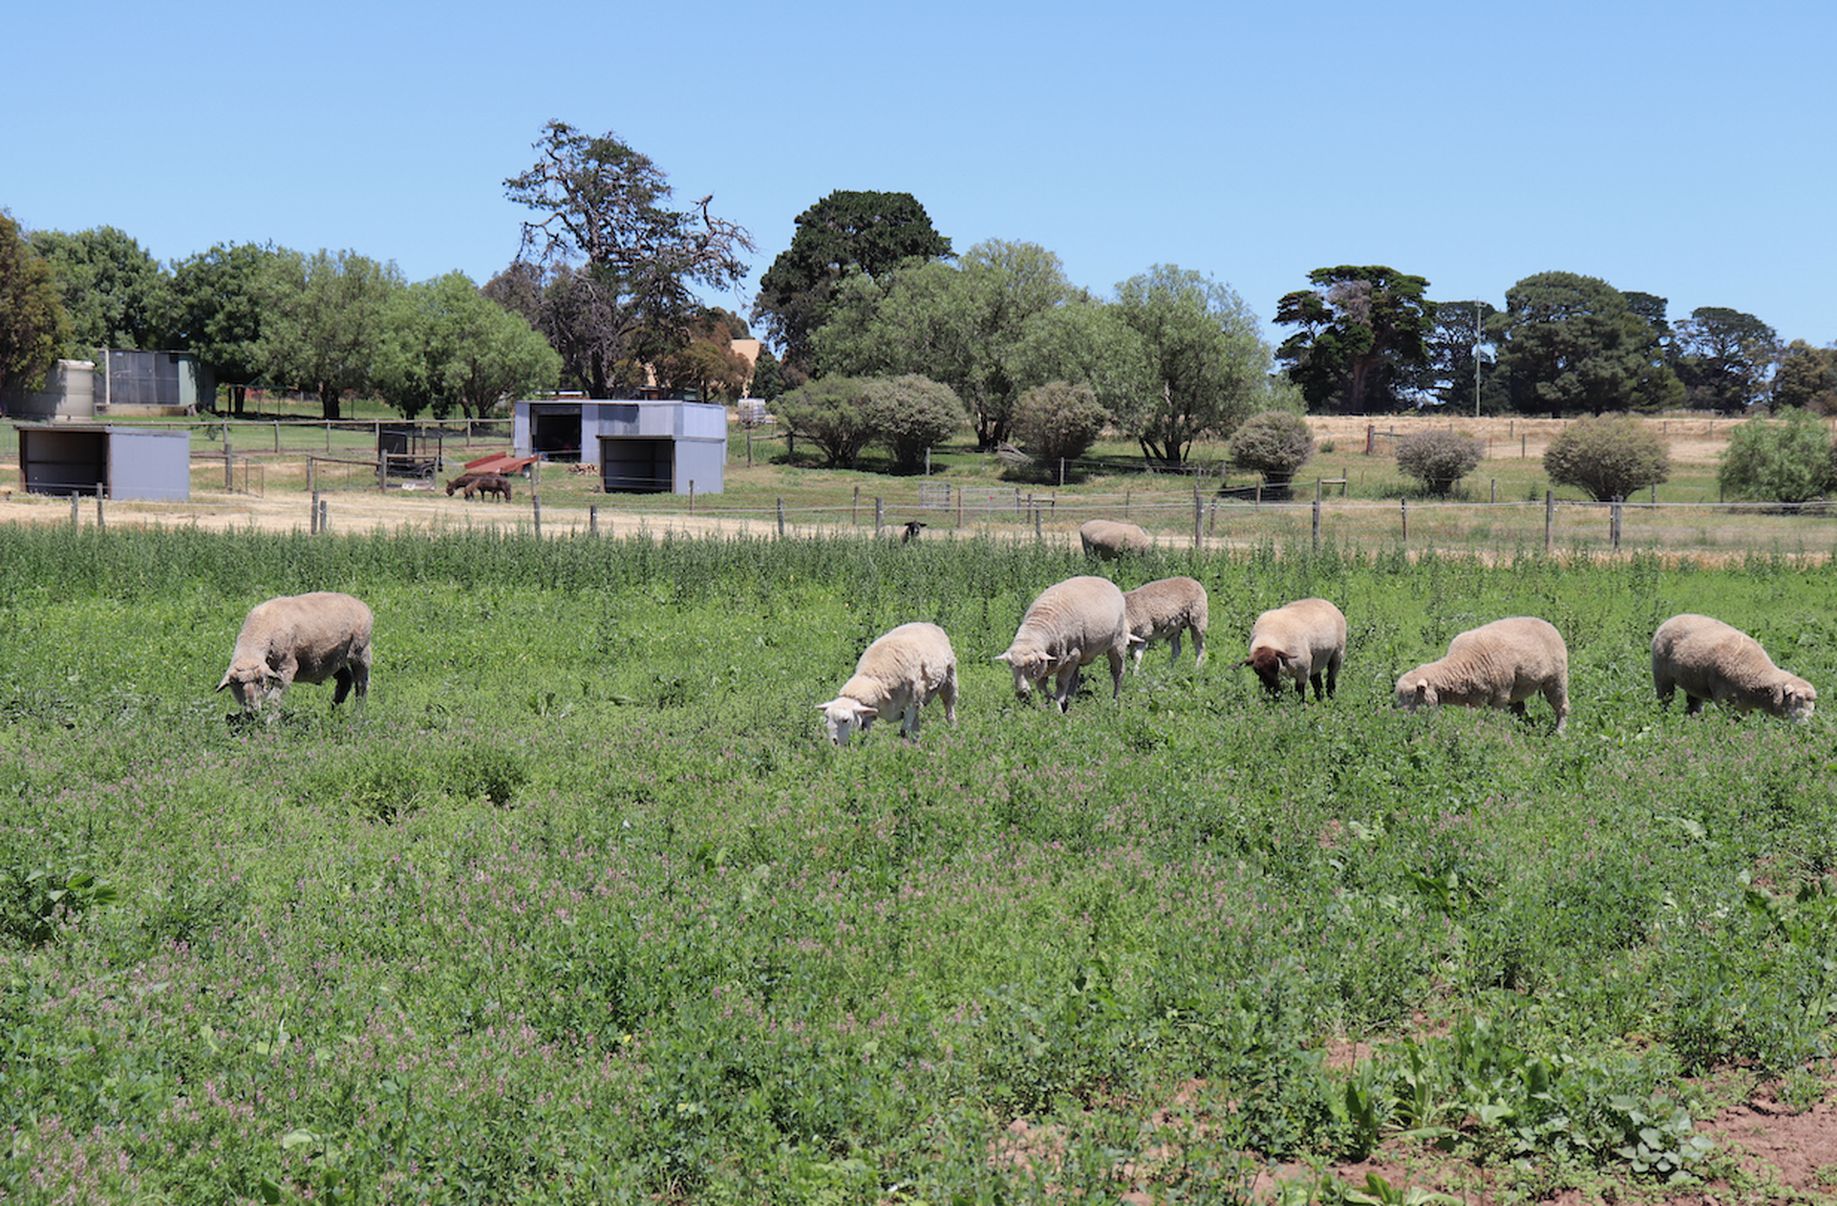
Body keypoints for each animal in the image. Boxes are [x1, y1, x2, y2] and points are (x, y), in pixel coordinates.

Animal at [214, 591, 372, 715]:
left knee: (361, 685)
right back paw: (333, 712)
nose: (252, 709)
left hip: (360, 652)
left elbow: (274, 700)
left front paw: (270, 725)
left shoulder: (287, 667)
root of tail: (361, 605)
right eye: (236, 684)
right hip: (333, 658)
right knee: (345, 679)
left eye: (260, 681)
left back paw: (357, 715)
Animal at [819, 620, 962, 741]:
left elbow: (904, 732)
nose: (834, 743)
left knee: (949, 707)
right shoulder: (870, 713)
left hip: (949, 680)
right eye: (826, 718)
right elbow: (865, 734)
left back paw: (953, 729)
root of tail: (927, 623)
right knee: (916, 726)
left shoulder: (911, 704)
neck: (873, 677)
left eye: (846, 720)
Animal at [991, 576, 1131, 708]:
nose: (1021, 693)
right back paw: (1069, 701)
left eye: (1031, 664)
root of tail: (1104, 579)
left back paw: (1114, 701)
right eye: (1010, 665)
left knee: (1118, 672)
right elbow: (1042, 688)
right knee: (1075, 677)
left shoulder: (1070, 656)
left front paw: (1057, 706)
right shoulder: (1047, 664)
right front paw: (1047, 705)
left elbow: (1061, 683)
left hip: (1117, 642)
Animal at [1388, 616, 1565, 730]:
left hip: (1557, 678)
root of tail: (1547, 623)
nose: (1401, 722)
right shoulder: (1475, 700)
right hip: (1520, 687)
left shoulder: (1501, 695)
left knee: (1562, 706)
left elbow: (1494, 718)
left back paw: (1560, 733)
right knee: (1519, 708)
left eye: (1411, 695)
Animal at [1653, 616, 1807, 719]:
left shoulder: (1743, 704)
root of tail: (1672, 619)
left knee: (1693, 703)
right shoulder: (1724, 698)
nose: (1805, 725)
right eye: (1798, 699)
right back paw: (1664, 716)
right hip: (1662, 675)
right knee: (1665, 698)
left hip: (1693, 681)